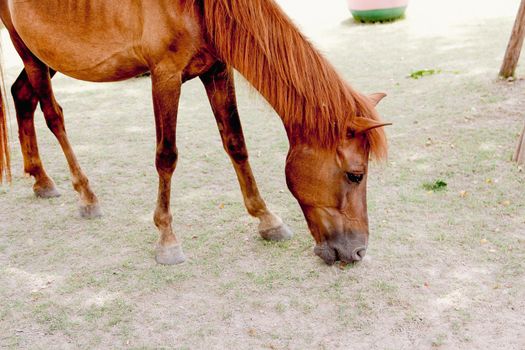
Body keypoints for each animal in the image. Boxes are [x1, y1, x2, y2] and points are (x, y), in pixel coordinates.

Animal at [1, 0, 388, 266]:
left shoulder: (217, 70)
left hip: (47, 52)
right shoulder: (165, 75)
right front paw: (167, 239)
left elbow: (236, 144)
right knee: (53, 115)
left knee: (22, 96)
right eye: (355, 175)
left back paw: (41, 179)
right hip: (28, 49)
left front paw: (267, 219)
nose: (358, 251)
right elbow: (166, 156)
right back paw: (85, 195)